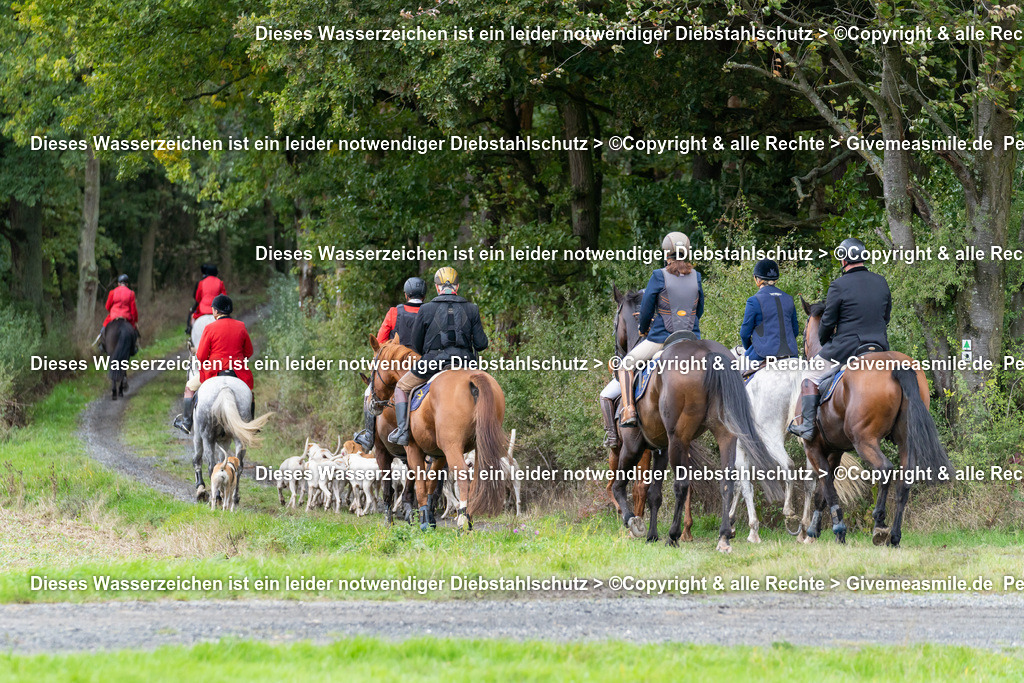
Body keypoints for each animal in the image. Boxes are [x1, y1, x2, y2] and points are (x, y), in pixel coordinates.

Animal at [191, 376, 272, 505]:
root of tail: (225, 388)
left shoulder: (199, 435)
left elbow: (197, 459)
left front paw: (201, 489)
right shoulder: (225, 441)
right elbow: (223, 461)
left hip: (207, 437)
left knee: (211, 465)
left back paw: (216, 497)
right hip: (239, 438)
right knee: (238, 466)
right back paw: (234, 497)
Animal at [368, 333, 512, 532]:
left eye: (373, 369)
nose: (372, 401)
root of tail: (472, 378)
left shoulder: (409, 450)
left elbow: (419, 486)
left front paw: (421, 521)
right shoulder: (438, 455)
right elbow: (431, 484)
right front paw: (428, 519)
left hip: (452, 447)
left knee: (462, 475)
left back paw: (462, 520)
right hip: (479, 446)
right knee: (476, 477)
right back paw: (469, 518)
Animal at [606, 290, 782, 552]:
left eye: (615, 322)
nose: (617, 358)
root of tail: (708, 353)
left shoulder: (634, 444)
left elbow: (621, 486)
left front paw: (634, 523)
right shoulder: (660, 448)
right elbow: (654, 494)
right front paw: (651, 535)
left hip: (677, 438)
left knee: (681, 485)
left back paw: (673, 535)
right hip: (725, 435)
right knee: (727, 482)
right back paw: (723, 536)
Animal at [798, 296, 950, 544]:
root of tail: (896, 364)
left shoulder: (813, 447)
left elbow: (827, 488)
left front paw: (836, 529)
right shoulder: (835, 450)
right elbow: (824, 490)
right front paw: (817, 529)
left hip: (864, 440)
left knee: (885, 469)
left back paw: (879, 523)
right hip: (904, 439)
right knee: (904, 480)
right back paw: (894, 535)